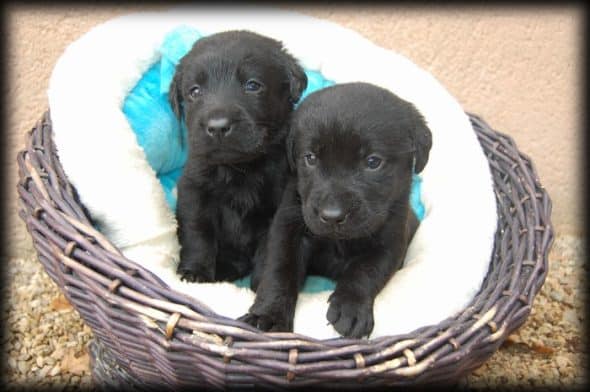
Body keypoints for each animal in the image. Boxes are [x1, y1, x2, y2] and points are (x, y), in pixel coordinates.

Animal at [170, 30, 308, 282]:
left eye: (252, 85)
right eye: (194, 91)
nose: (217, 127)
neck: (240, 168)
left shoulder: (279, 207)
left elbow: (270, 248)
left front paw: (262, 284)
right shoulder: (194, 190)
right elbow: (198, 231)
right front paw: (195, 272)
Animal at [240, 82, 434, 336]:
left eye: (373, 162)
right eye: (310, 158)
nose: (332, 216)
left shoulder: (390, 242)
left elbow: (364, 271)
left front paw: (350, 308)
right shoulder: (288, 226)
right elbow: (280, 269)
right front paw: (268, 315)